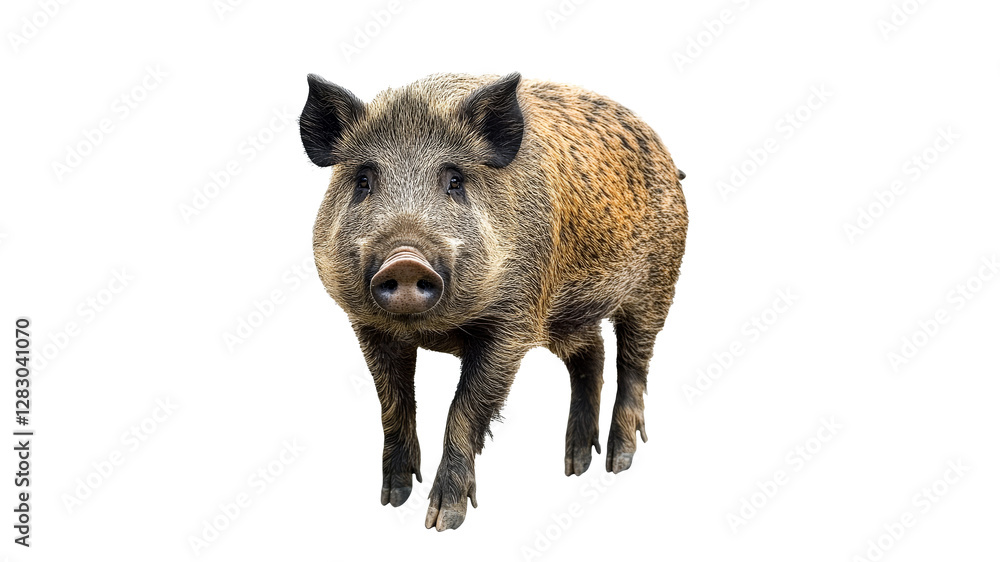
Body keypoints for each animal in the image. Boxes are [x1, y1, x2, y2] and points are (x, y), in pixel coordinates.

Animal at [299, 72, 687, 531]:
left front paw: (442, 521)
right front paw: (392, 500)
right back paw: (574, 466)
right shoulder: (368, 326)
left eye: (454, 180)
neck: (434, 330)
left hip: (657, 286)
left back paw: (617, 462)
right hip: (567, 318)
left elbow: (464, 408)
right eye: (363, 180)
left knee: (633, 363)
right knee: (591, 354)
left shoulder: (512, 323)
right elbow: (392, 403)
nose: (406, 260)